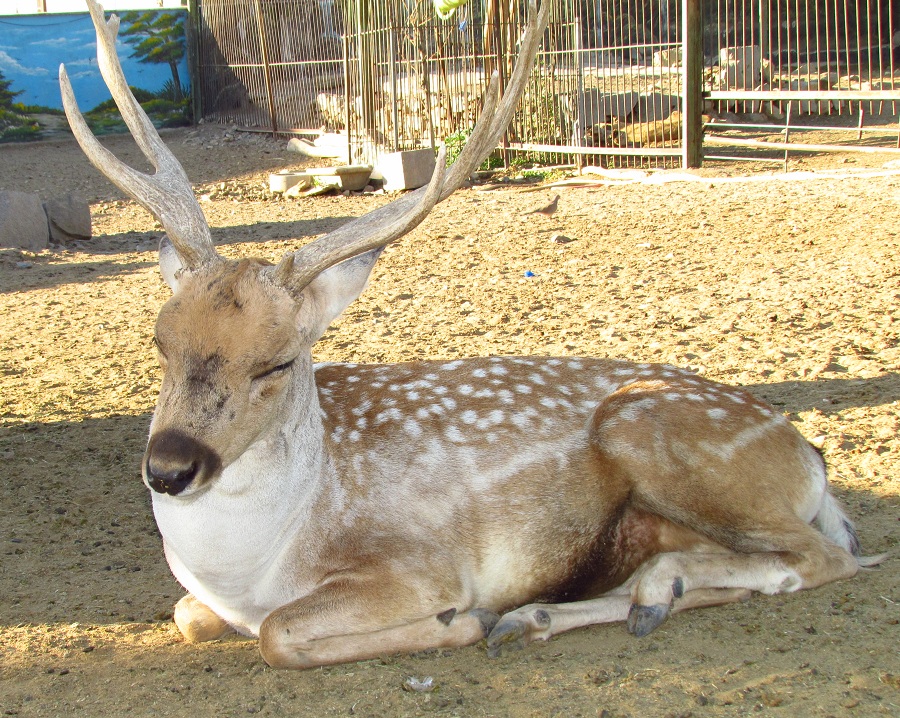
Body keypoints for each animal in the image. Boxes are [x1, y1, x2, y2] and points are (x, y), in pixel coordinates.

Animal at [60, 0, 878, 670]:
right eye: (159, 340)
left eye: (278, 363)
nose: (169, 467)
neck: (252, 566)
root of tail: (811, 457)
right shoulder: (207, 599)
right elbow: (187, 615)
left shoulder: (414, 564)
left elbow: (277, 634)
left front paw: (456, 623)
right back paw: (566, 611)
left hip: (658, 435)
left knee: (821, 558)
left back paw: (616, 595)